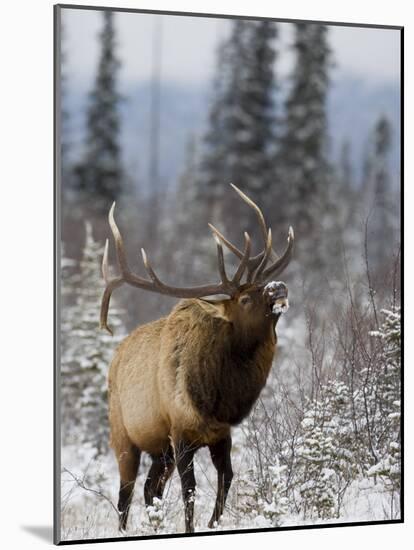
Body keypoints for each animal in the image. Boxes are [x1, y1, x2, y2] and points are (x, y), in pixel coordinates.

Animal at [101, 185, 294, 536]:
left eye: (262, 285)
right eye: (245, 299)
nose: (278, 287)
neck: (218, 397)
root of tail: (115, 358)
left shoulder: (221, 434)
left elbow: (226, 478)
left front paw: (213, 521)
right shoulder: (181, 433)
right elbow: (189, 490)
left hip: (159, 449)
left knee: (150, 488)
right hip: (123, 435)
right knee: (126, 493)